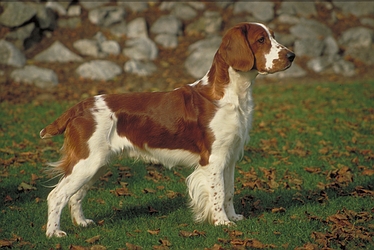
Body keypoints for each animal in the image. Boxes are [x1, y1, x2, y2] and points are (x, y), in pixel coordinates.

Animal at [41, 22, 296, 237]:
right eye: (261, 39)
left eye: (273, 36)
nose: (292, 55)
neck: (231, 96)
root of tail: (80, 106)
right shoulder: (213, 158)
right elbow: (219, 192)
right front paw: (222, 222)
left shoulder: (230, 156)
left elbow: (230, 190)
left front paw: (233, 217)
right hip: (87, 161)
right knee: (56, 195)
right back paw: (54, 233)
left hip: (97, 164)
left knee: (75, 195)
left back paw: (82, 222)